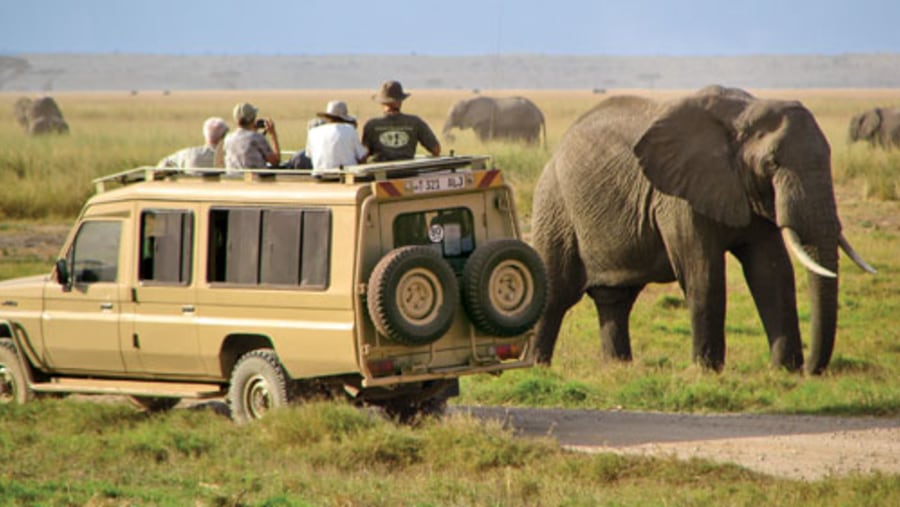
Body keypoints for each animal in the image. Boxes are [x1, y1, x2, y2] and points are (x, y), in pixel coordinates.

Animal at [532, 85, 876, 376]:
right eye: (772, 164)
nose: (812, 372)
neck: (744, 113)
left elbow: (772, 272)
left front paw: (783, 371)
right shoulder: (678, 197)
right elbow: (704, 273)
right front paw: (707, 371)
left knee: (615, 299)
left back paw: (618, 369)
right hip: (555, 206)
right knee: (556, 293)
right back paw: (538, 367)